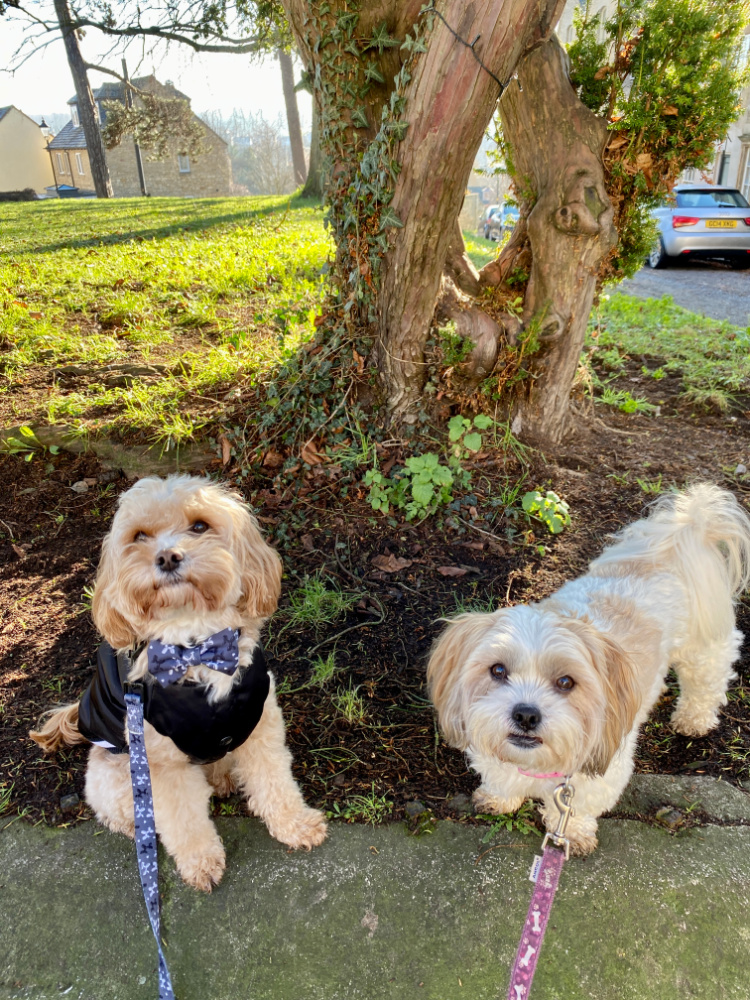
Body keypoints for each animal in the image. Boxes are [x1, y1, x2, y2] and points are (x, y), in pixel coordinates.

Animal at [32, 476, 328, 892]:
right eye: (139, 536)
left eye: (200, 525)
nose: (168, 557)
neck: (197, 647)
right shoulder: (161, 763)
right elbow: (183, 819)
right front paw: (200, 863)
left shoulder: (260, 724)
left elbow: (275, 781)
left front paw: (295, 824)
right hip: (117, 774)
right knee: (122, 811)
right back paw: (139, 828)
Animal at [428, 482, 750, 852]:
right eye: (497, 670)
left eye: (566, 682)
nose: (526, 714)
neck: (537, 764)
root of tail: (680, 534)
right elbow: (502, 777)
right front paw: (499, 798)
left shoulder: (600, 771)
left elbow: (577, 806)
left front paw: (573, 832)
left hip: (704, 647)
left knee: (707, 682)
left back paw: (693, 719)